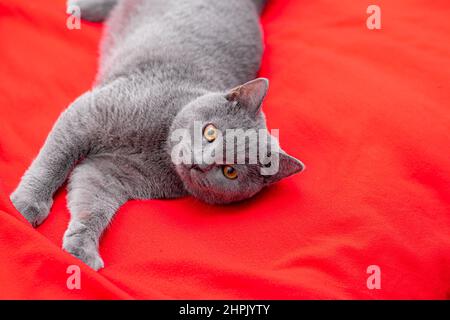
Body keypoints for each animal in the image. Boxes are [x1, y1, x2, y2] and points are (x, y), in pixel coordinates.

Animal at [11, 0, 306, 270]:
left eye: (230, 171)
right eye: (210, 131)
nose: (199, 163)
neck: (158, 147)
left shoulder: (112, 174)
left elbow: (94, 204)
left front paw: (82, 249)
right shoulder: (90, 113)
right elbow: (52, 163)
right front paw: (25, 206)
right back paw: (79, 8)